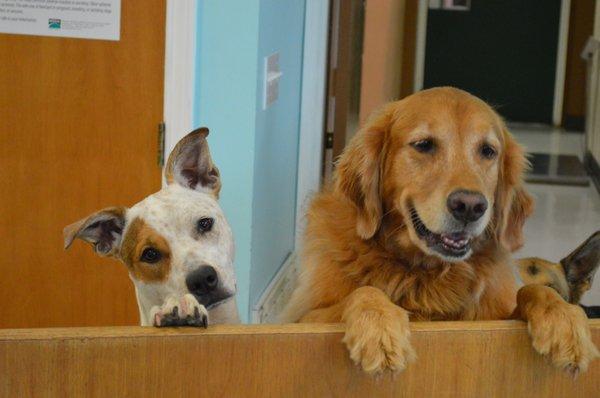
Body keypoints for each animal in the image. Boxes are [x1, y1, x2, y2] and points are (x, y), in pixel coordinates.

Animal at [284, 88, 596, 376]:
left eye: (488, 151)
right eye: (424, 145)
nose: (470, 206)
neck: (425, 274)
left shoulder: (493, 318)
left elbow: (532, 290)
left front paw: (565, 321)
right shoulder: (302, 319)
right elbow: (364, 291)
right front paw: (380, 329)